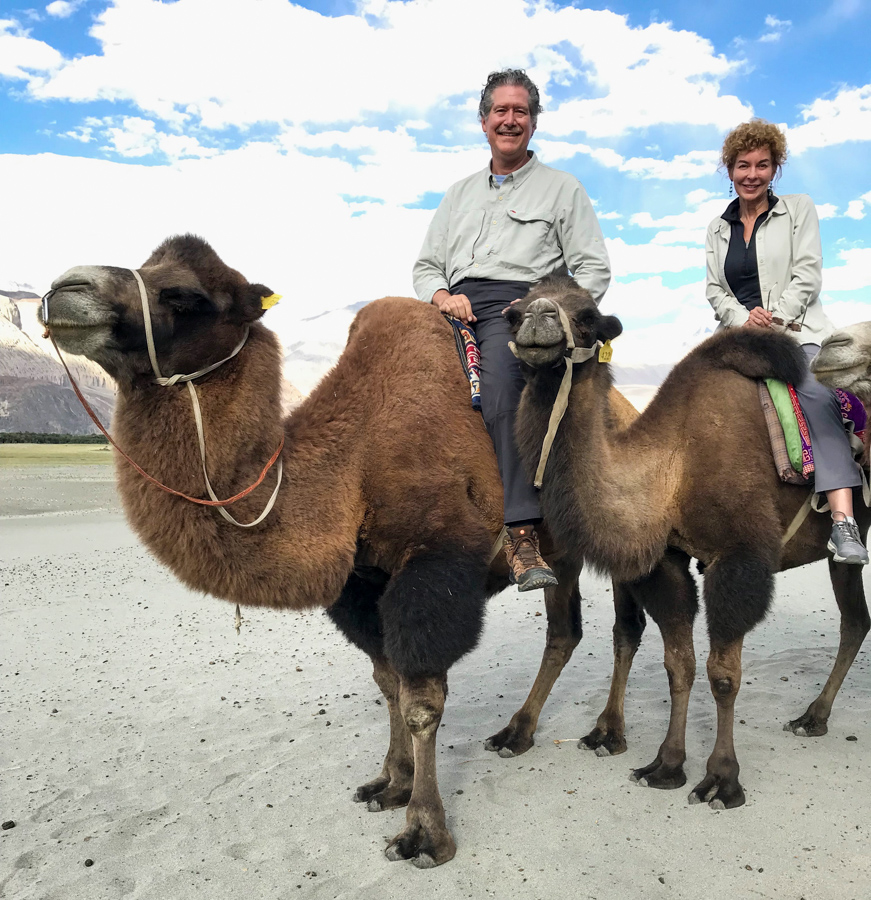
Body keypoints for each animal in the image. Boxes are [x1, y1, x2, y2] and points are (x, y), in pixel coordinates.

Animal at [41, 235, 636, 867]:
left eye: (184, 295)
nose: (66, 289)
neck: (352, 464)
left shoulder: (435, 564)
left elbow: (421, 699)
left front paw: (424, 832)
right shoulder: (361, 582)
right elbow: (387, 682)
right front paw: (390, 783)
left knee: (623, 626)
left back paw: (604, 735)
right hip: (560, 559)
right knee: (565, 632)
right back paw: (517, 734)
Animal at [504, 275, 871, 810]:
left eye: (589, 316)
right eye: (514, 312)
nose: (539, 319)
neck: (672, 467)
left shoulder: (738, 560)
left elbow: (723, 673)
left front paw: (721, 779)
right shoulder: (668, 560)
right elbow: (679, 663)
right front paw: (666, 765)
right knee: (856, 619)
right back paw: (813, 717)